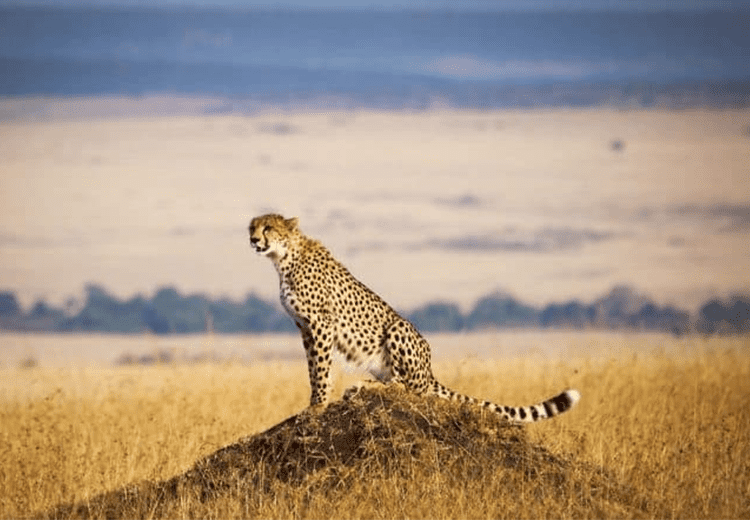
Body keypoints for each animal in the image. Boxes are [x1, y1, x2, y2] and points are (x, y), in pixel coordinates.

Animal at [248, 213, 580, 423]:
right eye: (252, 226)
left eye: (268, 227)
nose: (253, 240)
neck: (283, 258)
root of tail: (430, 370)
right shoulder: (304, 327)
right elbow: (313, 368)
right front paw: (316, 400)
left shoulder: (320, 324)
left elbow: (320, 368)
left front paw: (317, 405)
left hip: (398, 328)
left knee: (408, 388)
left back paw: (362, 387)